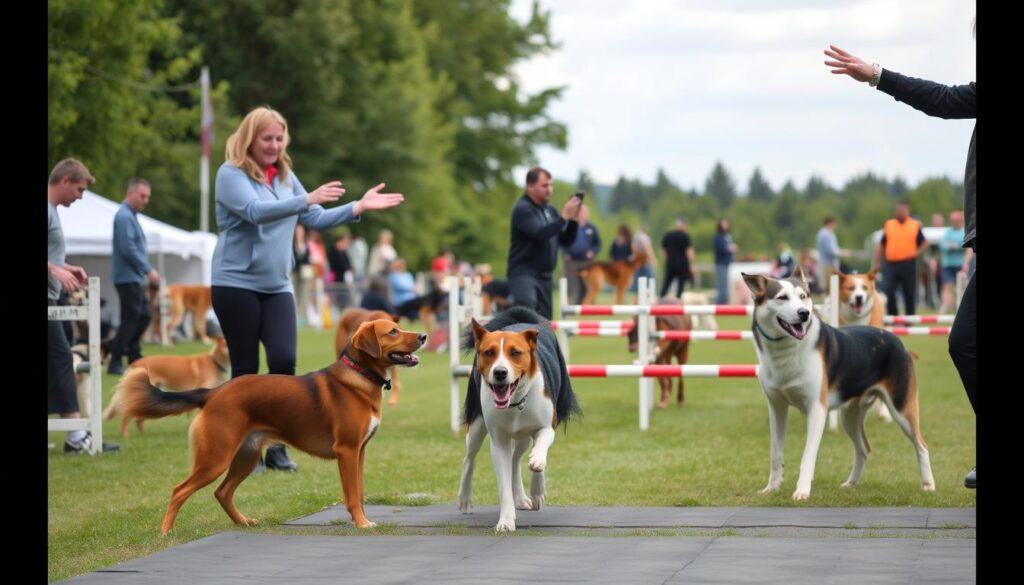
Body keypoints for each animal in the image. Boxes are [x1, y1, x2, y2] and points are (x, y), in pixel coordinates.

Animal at [102, 338, 231, 434]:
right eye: (225, 345)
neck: (215, 362)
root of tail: (134, 363)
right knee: (128, 416)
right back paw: (125, 436)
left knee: (139, 417)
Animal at [458, 309, 581, 532]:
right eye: (489, 352)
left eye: (515, 353)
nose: (500, 372)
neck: (515, 401)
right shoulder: (499, 440)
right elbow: (503, 482)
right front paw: (506, 520)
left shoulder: (547, 424)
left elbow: (542, 444)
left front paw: (537, 472)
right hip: (477, 421)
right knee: (470, 458)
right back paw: (464, 499)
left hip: (523, 432)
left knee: (517, 456)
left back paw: (526, 495)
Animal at [741, 268, 933, 502]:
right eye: (782, 298)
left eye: (803, 296)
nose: (804, 313)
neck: (787, 349)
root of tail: (900, 345)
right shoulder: (777, 407)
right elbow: (775, 454)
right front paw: (771, 488)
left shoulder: (817, 408)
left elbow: (808, 455)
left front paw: (802, 491)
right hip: (849, 414)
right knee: (864, 448)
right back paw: (851, 483)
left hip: (902, 407)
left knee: (922, 445)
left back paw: (928, 485)